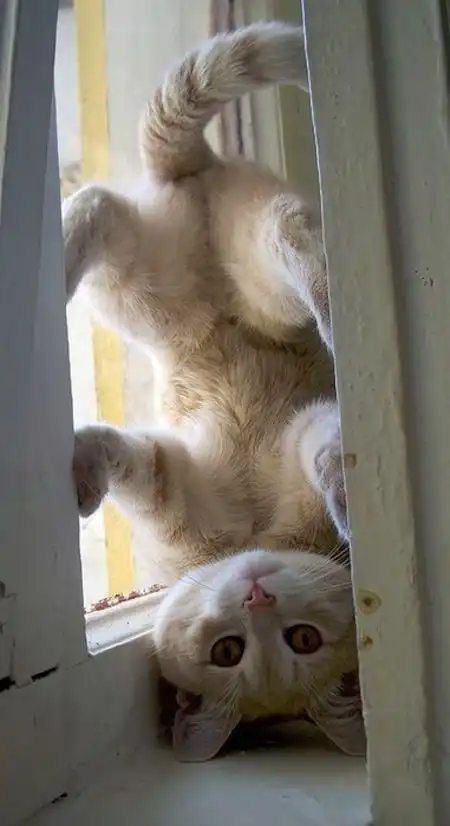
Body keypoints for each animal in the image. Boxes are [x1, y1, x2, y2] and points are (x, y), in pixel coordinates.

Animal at [66, 22, 363, 758]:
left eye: (301, 641)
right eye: (227, 650)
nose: (254, 595)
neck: (248, 539)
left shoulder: (270, 441)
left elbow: (325, 450)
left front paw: (347, 499)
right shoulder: (170, 476)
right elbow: (118, 453)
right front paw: (80, 474)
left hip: (166, 281)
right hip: (154, 286)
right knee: (93, 207)